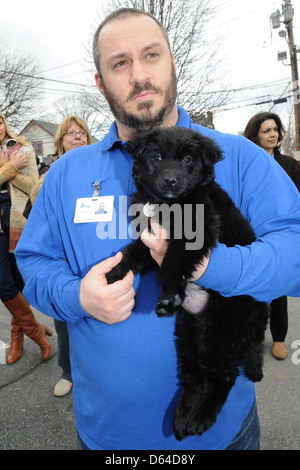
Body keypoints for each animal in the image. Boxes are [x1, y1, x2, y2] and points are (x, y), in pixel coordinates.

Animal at [106, 126, 268, 440]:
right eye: (157, 158)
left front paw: (168, 294)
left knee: (223, 378)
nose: (170, 180)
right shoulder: (149, 237)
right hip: (188, 333)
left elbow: (173, 261)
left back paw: (201, 420)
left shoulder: (195, 232)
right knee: (194, 379)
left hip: (222, 334)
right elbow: (134, 252)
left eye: (187, 160)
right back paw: (181, 420)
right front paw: (115, 272)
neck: (169, 204)